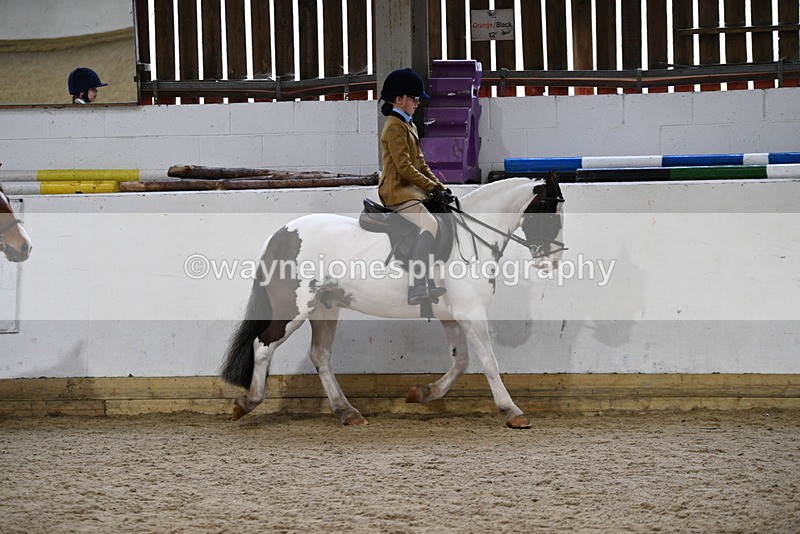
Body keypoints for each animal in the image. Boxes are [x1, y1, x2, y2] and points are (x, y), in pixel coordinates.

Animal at [221, 172, 565, 429]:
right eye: (551, 215)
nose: (553, 262)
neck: (471, 239)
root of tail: (279, 235)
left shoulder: (452, 315)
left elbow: (461, 362)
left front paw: (422, 393)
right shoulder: (472, 312)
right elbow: (489, 362)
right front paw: (512, 411)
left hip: (324, 308)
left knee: (320, 356)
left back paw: (347, 412)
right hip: (294, 309)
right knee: (263, 345)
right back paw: (247, 402)